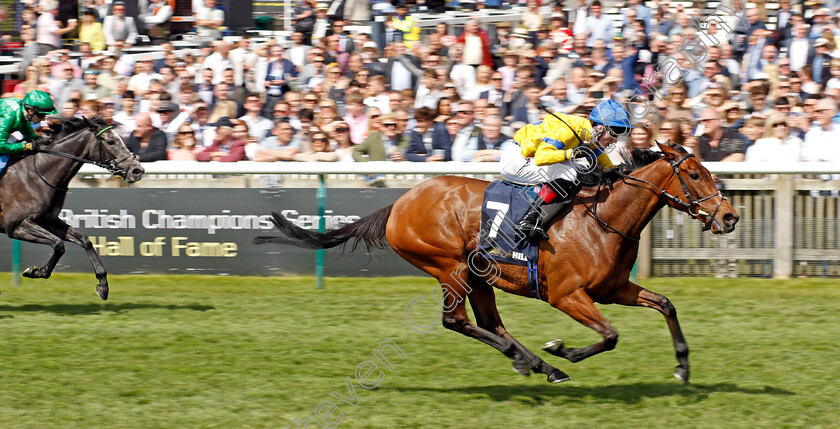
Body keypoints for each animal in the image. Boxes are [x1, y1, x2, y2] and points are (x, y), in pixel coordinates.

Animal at [0, 115, 144, 300]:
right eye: (111, 141)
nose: (137, 170)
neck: (37, 174)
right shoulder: (17, 226)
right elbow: (59, 244)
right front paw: (36, 272)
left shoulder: (48, 220)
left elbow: (84, 239)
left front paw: (103, 284)